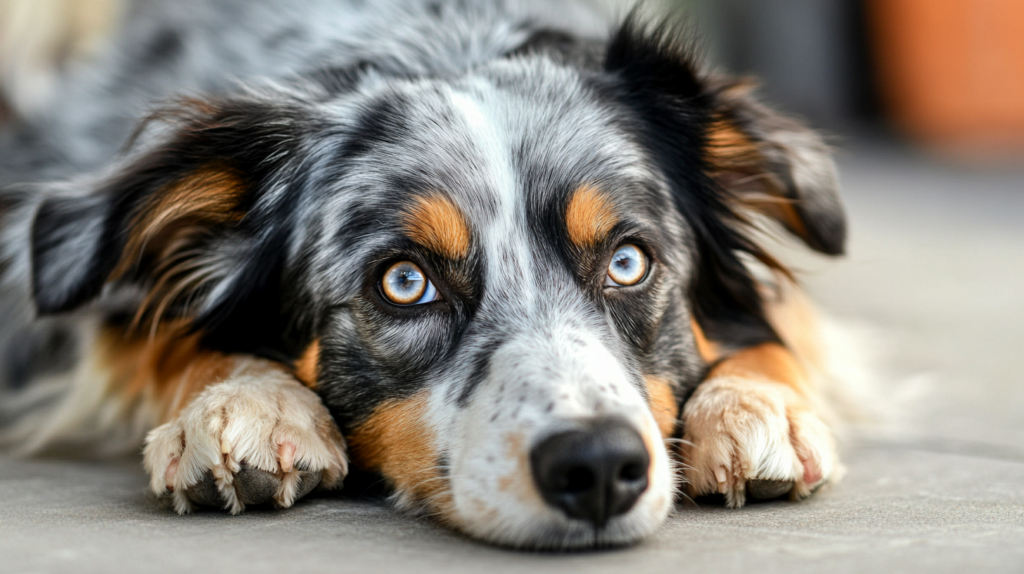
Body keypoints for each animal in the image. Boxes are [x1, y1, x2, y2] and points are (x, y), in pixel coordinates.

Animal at [0, 0, 847, 548]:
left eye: (628, 262)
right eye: (404, 282)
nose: (600, 465)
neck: (446, 42)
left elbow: (781, 334)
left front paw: (759, 410)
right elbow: (161, 337)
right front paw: (247, 405)